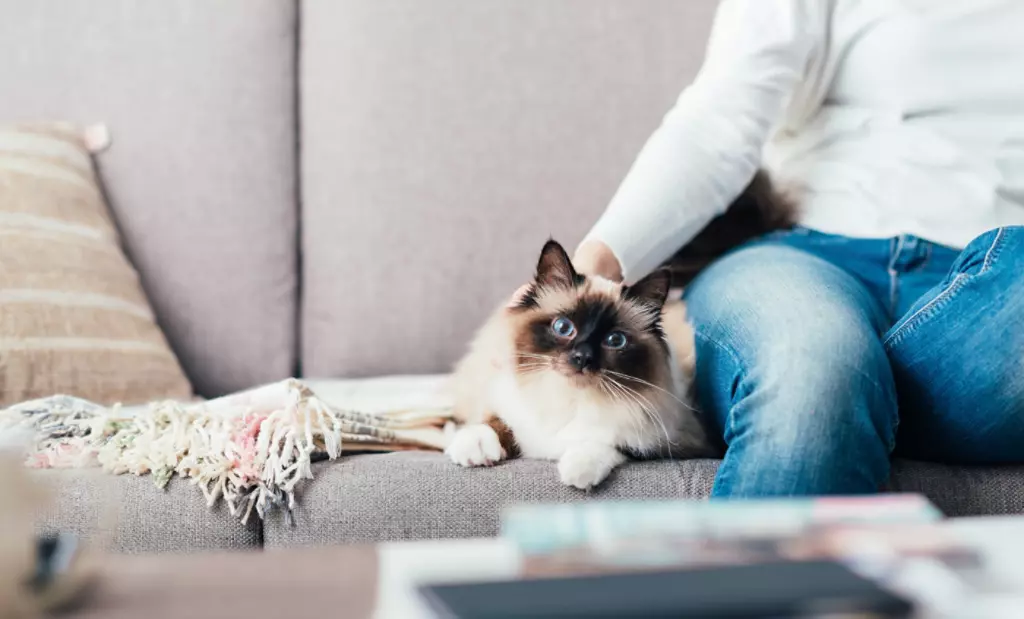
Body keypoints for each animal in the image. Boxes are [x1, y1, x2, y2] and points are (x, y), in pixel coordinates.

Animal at [444, 240, 716, 487]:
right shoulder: (506, 399)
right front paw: (475, 448)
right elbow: (494, 421)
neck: (570, 397)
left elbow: (609, 443)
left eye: (615, 340)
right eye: (563, 327)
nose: (582, 358)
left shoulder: (674, 439)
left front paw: (578, 470)